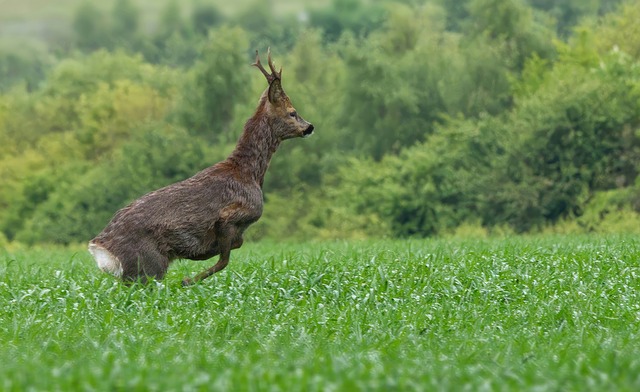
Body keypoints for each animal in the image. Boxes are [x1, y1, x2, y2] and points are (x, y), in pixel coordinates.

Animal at [87, 49, 312, 288]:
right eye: (292, 112)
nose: (310, 127)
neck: (248, 174)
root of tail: (100, 249)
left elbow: (236, 245)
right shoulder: (229, 217)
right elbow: (224, 259)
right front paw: (187, 279)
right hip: (149, 265)